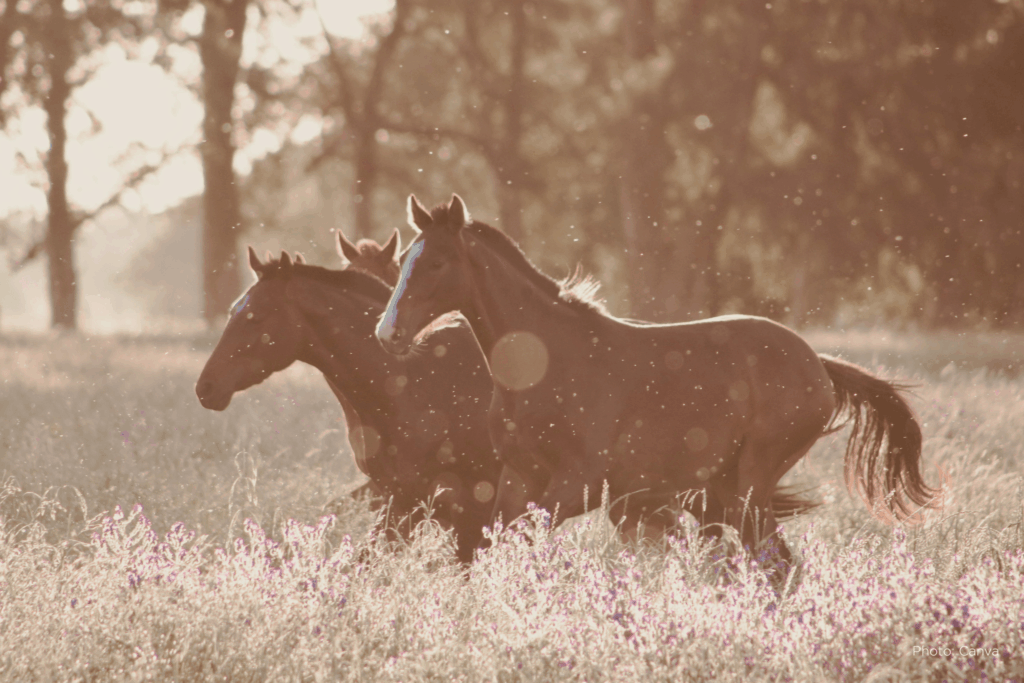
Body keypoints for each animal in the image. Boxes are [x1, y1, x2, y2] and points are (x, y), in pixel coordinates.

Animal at [375, 194, 937, 565]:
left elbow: (519, 542)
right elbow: (493, 545)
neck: (545, 365)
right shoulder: (520, 477)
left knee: (775, 563)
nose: (388, 332)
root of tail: (817, 363)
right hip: (723, 488)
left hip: (751, 482)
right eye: (404, 261)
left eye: (439, 262)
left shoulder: (579, 484)